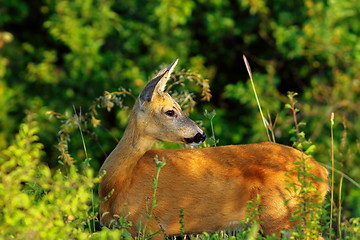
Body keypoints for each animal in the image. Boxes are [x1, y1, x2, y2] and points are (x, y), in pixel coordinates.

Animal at [99, 59, 330, 239]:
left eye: (178, 107)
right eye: (170, 111)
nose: (201, 134)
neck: (119, 183)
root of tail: (322, 172)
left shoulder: (151, 225)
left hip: (283, 216)